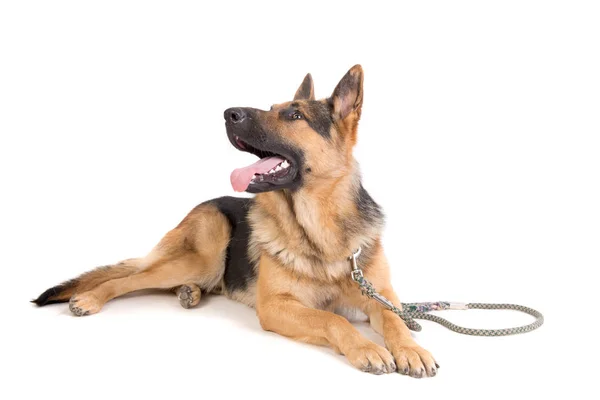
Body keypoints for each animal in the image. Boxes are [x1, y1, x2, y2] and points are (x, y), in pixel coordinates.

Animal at [34, 65, 436, 378]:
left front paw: (411, 349)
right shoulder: (276, 306)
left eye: (294, 116)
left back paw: (190, 292)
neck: (320, 232)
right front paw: (367, 348)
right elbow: (332, 319)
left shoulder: (383, 297)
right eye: (273, 108)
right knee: (127, 279)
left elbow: (394, 319)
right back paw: (91, 298)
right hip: (203, 252)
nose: (229, 113)